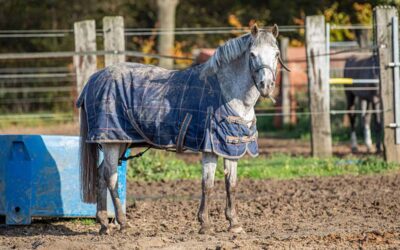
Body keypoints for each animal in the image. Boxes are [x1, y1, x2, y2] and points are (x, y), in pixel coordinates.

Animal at [76, 23, 288, 234]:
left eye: (276, 54)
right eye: (252, 54)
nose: (266, 85)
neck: (228, 94)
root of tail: (95, 79)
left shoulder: (231, 148)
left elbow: (231, 185)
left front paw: (234, 224)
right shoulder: (210, 149)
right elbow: (207, 185)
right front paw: (205, 224)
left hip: (120, 141)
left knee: (100, 176)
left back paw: (104, 224)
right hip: (111, 142)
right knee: (110, 178)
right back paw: (123, 222)